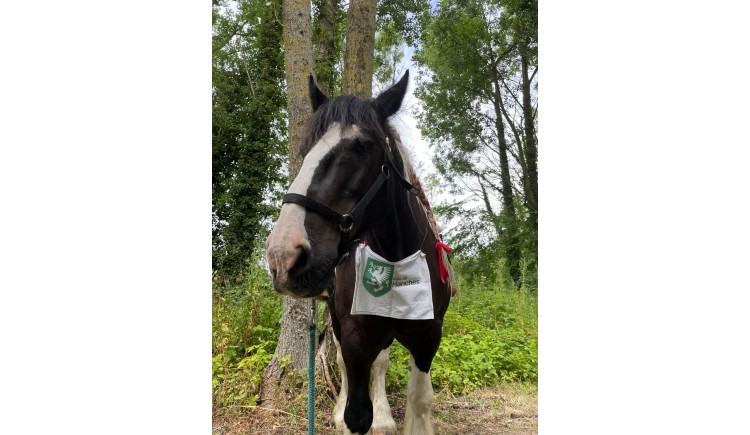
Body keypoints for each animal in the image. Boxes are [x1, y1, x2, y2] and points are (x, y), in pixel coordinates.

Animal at [266, 70, 452, 434]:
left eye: (363, 145)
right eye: (305, 149)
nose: (284, 255)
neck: (397, 258)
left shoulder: (428, 336)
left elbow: (420, 399)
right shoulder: (354, 336)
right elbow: (356, 412)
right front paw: (351, 414)